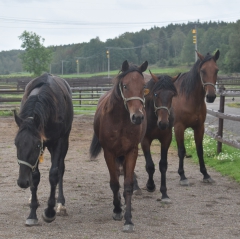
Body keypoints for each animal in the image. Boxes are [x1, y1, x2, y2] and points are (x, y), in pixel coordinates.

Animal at [13, 73, 72, 226]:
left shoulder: (58, 142)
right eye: (16, 144)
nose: (22, 182)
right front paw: (32, 213)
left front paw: (50, 211)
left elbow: (54, 174)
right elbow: (35, 177)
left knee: (61, 169)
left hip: (63, 143)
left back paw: (60, 204)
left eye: (36, 145)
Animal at [89, 60, 147, 233]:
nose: (137, 117)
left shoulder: (131, 152)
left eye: (143, 86)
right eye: (125, 86)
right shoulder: (109, 153)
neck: (120, 120)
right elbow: (114, 183)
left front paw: (128, 220)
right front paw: (117, 210)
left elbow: (127, 185)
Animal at [172, 49, 220, 186]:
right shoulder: (179, 127)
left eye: (216, 70)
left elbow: (200, 150)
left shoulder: (199, 127)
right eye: (202, 70)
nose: (211, 96)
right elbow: (181, 151)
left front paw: (206, 174)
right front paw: (182, 176)